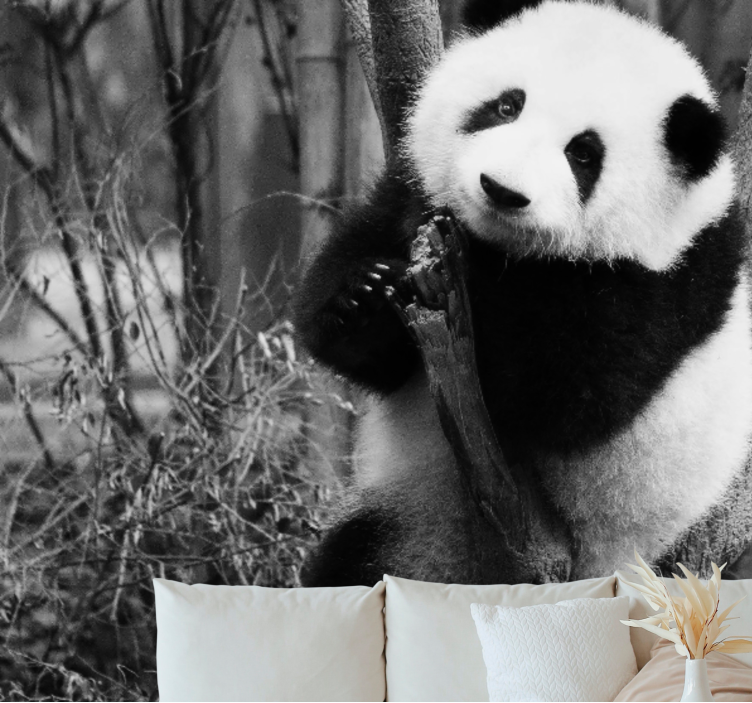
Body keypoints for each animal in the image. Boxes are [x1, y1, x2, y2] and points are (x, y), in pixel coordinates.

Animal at [293, 0, 752, 586]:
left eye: (584, 154)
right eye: (507, 106)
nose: (500, 189)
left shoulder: (666, 284)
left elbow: (566, 395)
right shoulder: (407, 187)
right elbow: (364, 333)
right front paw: (365, 296)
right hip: (411, 519)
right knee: (350, 562)